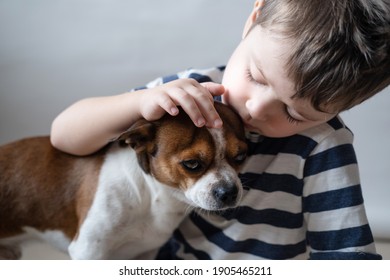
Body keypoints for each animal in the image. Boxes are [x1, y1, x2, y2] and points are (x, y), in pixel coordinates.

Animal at [0, 101, 248, 260]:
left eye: (241, 156)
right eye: (192, 164)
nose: (229, 191)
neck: (152, 198)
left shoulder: (145, 253)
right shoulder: (88, 251)